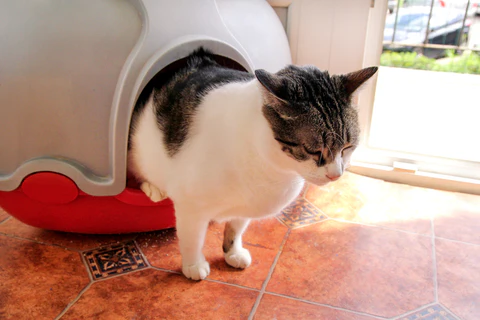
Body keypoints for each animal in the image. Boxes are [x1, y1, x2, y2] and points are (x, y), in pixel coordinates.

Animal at [128, 48, 378, 280]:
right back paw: (153, 188)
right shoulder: (191, 205)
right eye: (313, 150)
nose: (336, 175)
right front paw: (193, 265)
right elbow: (192, 238)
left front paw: (232, 252)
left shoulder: (246, 206)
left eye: (347, 147)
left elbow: (236, 229)